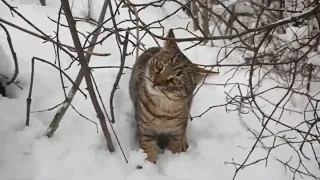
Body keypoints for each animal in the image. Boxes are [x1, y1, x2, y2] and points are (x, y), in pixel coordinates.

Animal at [129, 28, 219, 164]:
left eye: (175, 81)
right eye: (159, 65)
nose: (155, 82)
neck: (163, 110)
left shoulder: (176, 133)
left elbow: (175, 148)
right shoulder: (145, 131)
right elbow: (148, 153)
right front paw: (150, 166)